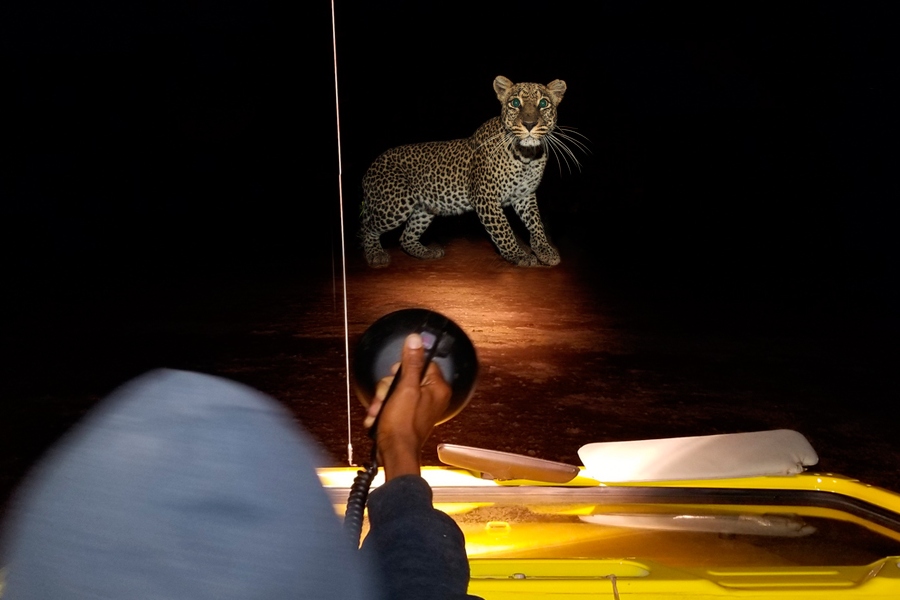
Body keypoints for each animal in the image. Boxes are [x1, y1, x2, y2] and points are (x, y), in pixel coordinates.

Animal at [356, 75, 580, 268]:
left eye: (543, 104)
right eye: (516, 103)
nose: (529, 124)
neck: (527, 156)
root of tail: (369, 169)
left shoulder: (525, 195)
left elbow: (536, 223)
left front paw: (545, 250)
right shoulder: (485, 197)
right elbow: (504, 229)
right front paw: (518, 254)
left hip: (423, 208)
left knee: (406, 237)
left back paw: (427, 252)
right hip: (394, 204)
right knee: (367, 225)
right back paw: (375, 254)